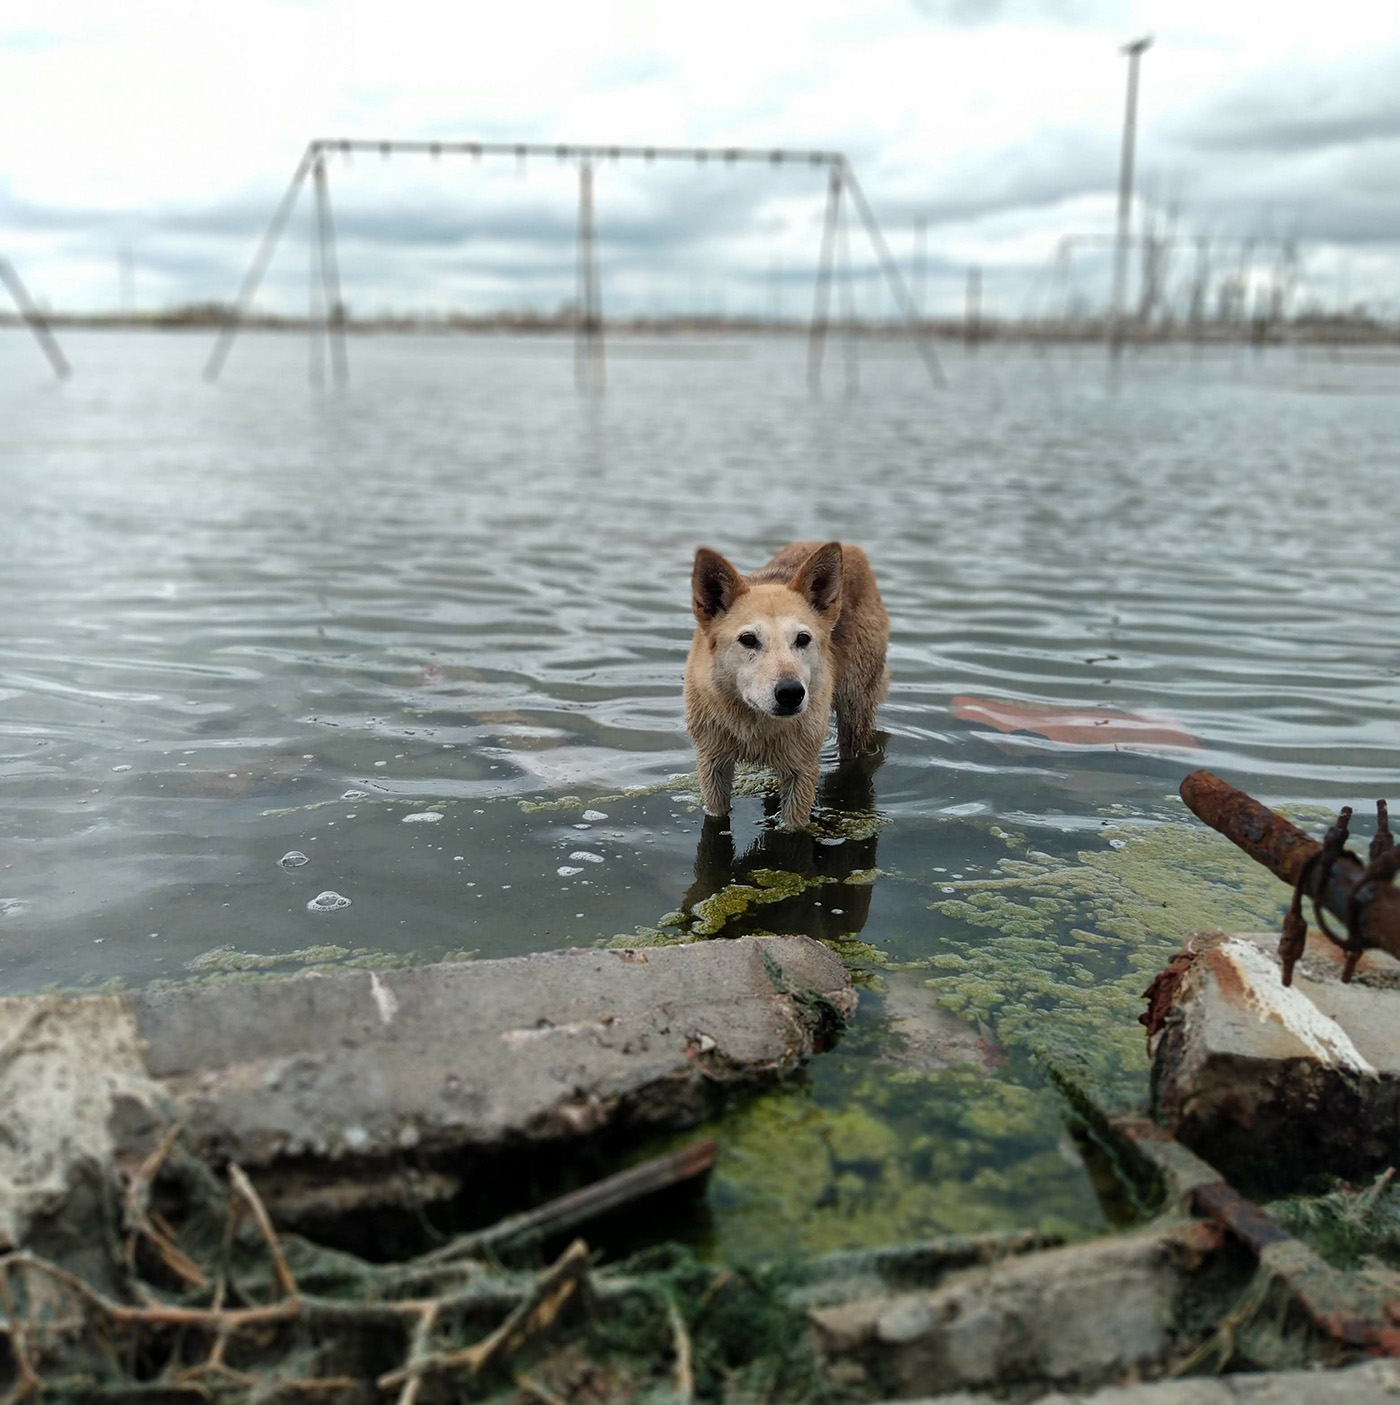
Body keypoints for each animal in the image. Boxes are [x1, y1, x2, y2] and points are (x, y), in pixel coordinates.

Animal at [683, 539, 893, 826]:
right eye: (748, 639)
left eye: (802, 638)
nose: (791, 693)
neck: (755, 724)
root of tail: (852, 548)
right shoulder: (712, 765)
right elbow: (717, 813)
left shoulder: (801, 771)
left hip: (854, 713)